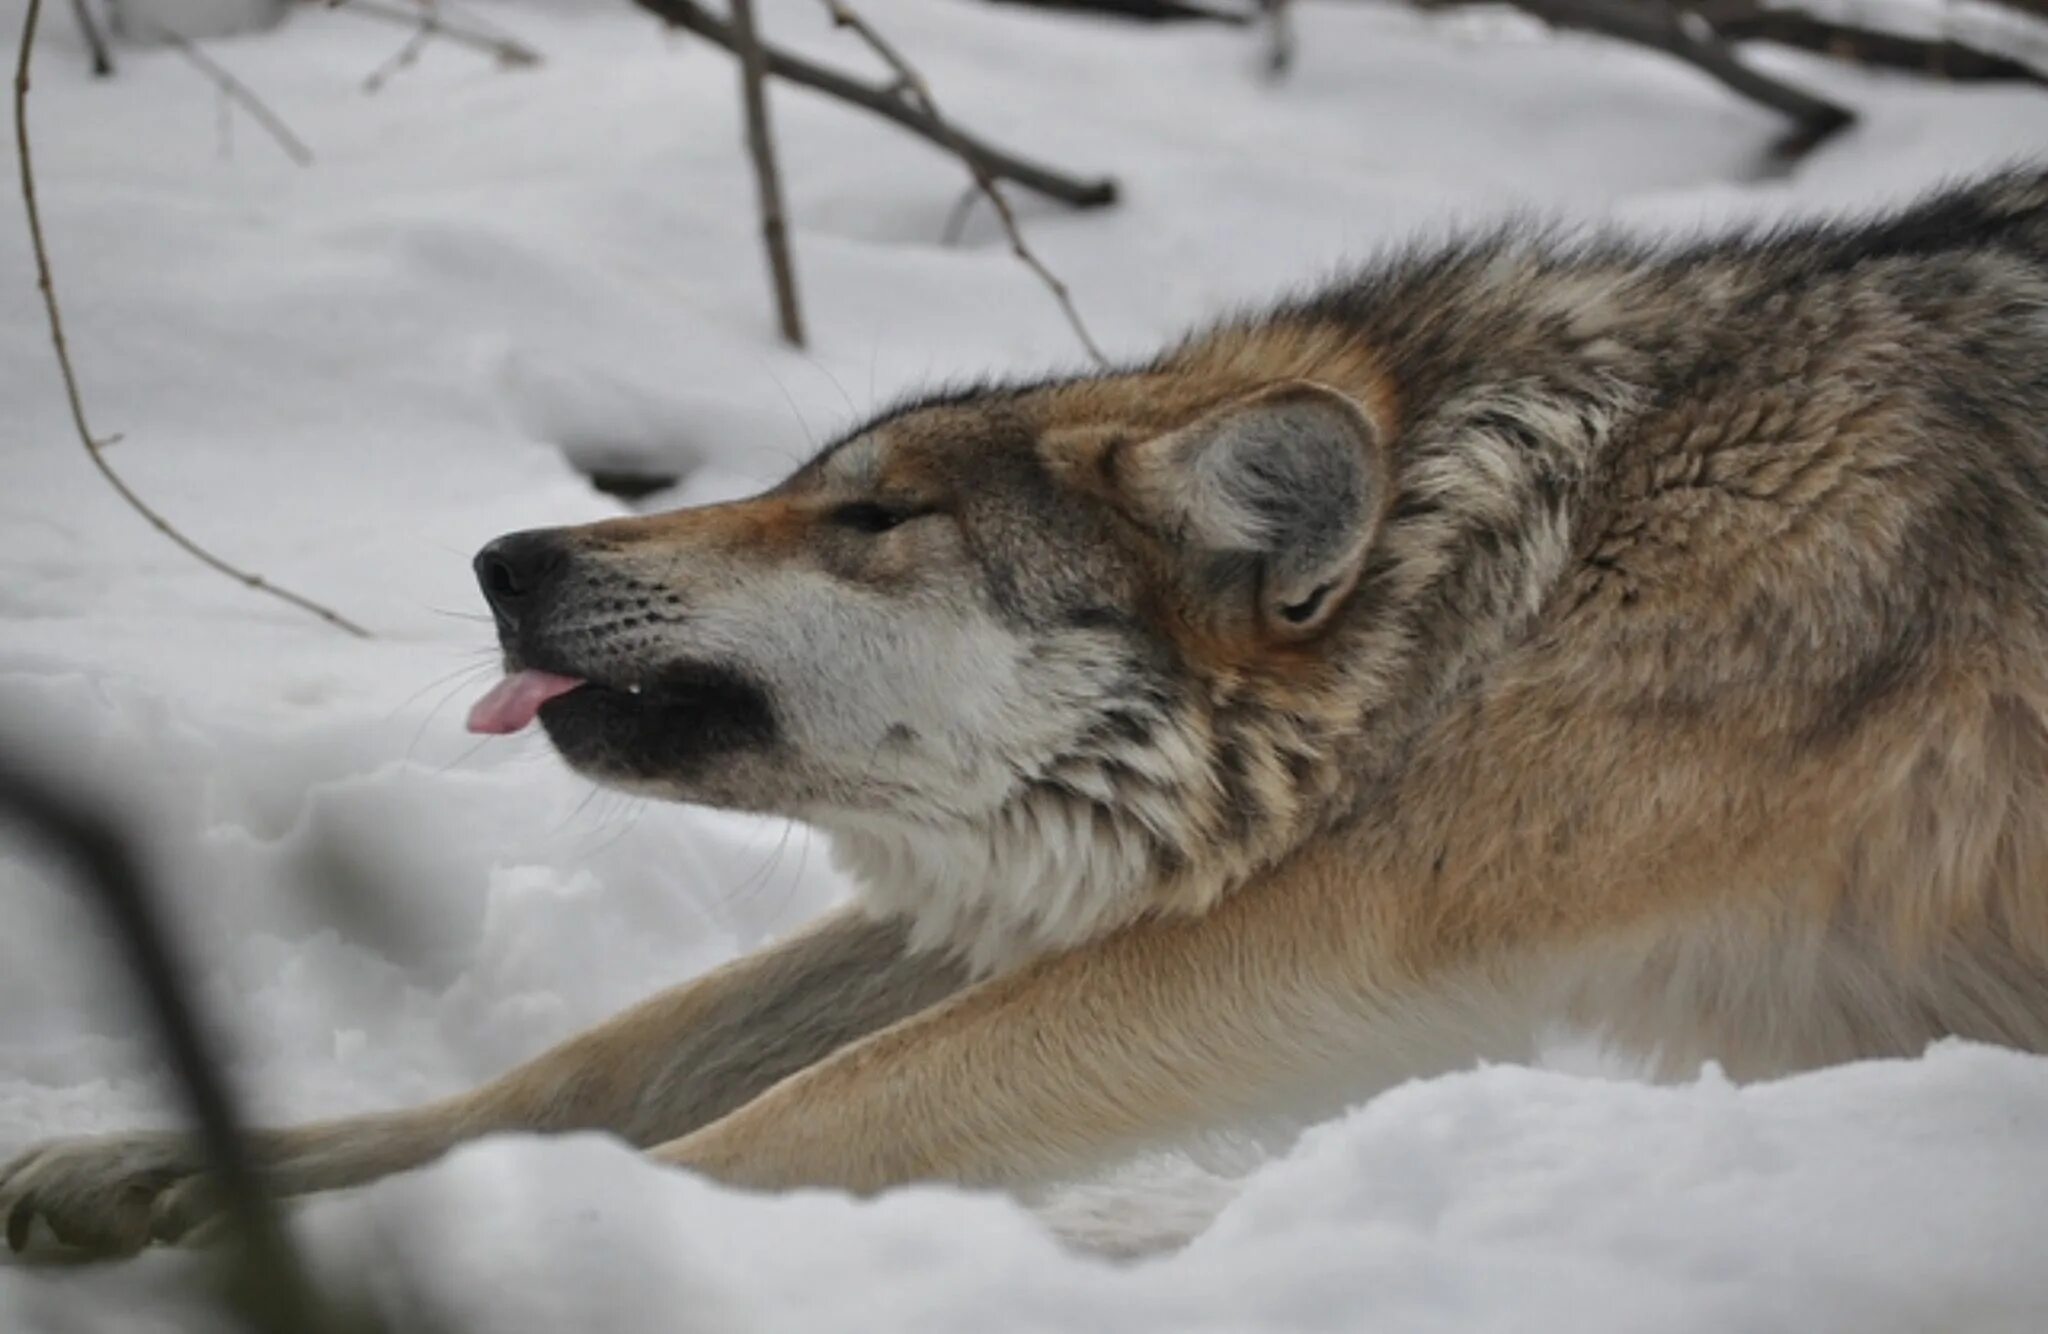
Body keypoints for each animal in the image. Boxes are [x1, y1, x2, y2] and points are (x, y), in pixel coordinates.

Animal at [4, 163, 2048, 1254]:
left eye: (873, 517)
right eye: (807, 481)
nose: (506, 554)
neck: (1520, 552)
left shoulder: (1348, 921)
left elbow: (801, 1109)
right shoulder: (1094, 875)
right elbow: (594, 1064)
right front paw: (170, 1173)